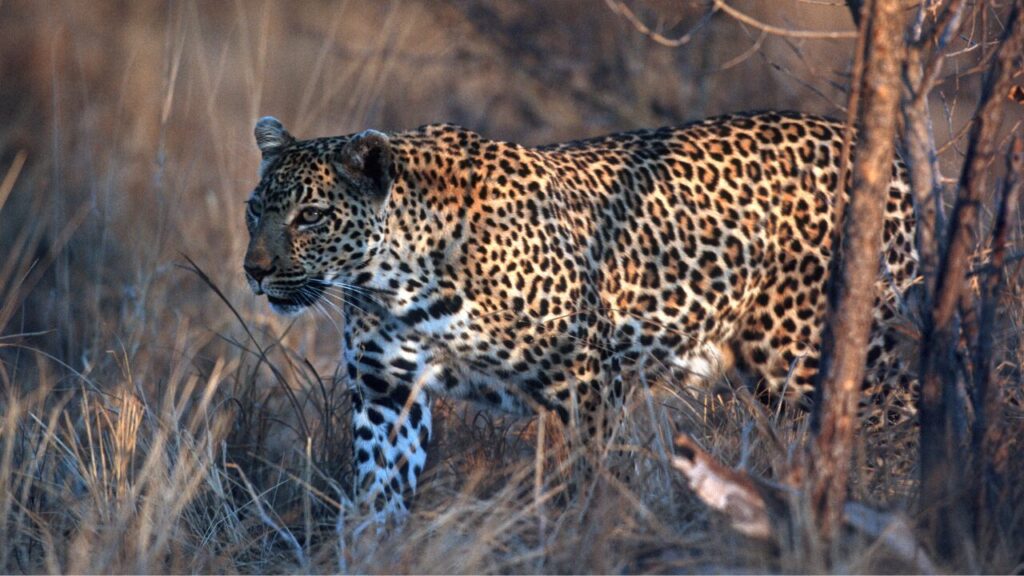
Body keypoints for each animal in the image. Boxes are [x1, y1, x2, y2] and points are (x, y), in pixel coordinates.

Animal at [242, 111, 919, 522]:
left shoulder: (587, 381)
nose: (254, 270)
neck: (393, 281)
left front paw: (597, 536)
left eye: (311, 216)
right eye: (255, 210)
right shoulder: (388, 393)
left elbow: (598, 481)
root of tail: (888, 157)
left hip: (819, 359)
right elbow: (378, 496)